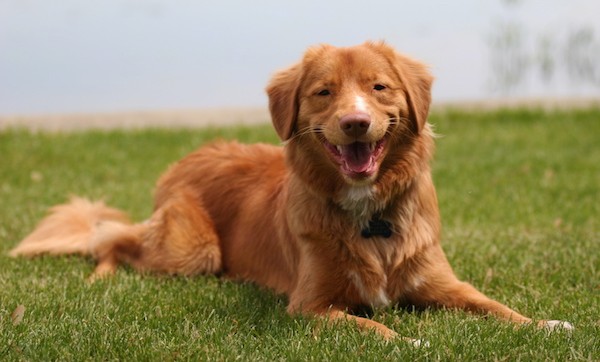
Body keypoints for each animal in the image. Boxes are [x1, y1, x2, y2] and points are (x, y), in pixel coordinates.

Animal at [9, 41, 572, 344]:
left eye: (379, 87)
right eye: (324, 92)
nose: (355, 123)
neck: (368, 211)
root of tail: (193, 153)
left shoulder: (442, 283)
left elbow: (494, 306)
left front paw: (544, 324)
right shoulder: (309, 306)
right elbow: (370, 327)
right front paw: (408, 337)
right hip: (193, 251)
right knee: (113, 239)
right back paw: (101, 276)